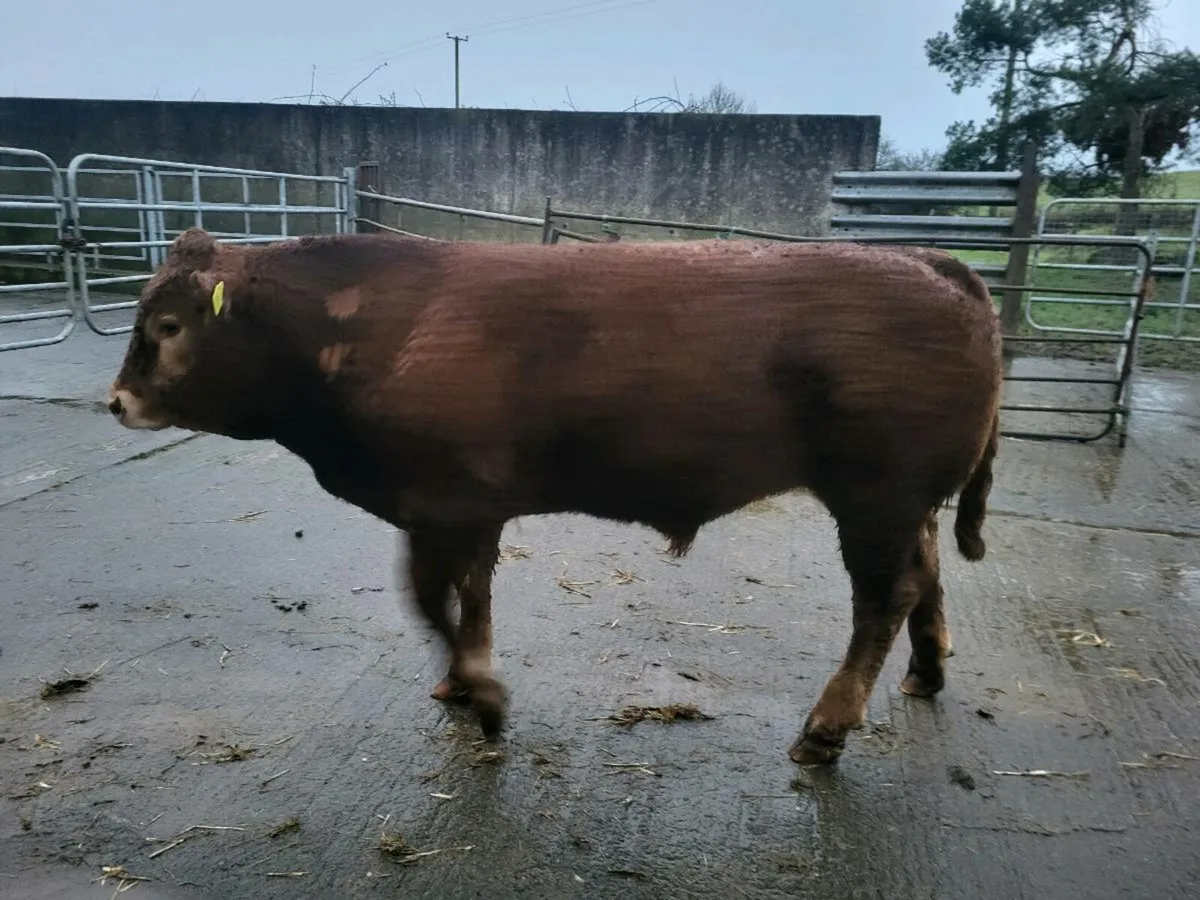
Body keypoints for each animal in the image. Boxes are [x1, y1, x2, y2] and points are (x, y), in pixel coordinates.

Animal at [106, 227, 1002, 766]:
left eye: (169, 327)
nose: (117, 401)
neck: (369, 329)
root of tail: (928, 262)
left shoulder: (443, 505)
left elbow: (429, 600)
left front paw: (486, 696)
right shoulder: (465, 514)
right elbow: (468, 598)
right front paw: (462, 680)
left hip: (875, 497)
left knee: (884, 598)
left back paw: (826, 729)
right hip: (903, 503)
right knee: (926, 576)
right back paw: (926, 672)